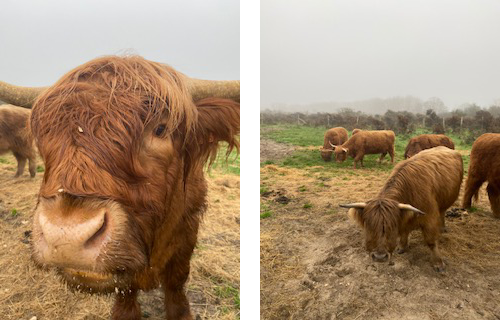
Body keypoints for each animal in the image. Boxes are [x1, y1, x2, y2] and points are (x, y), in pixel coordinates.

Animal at [0, 55, 240, 320]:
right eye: (44, 133)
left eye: (161, 129)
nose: (66, 236)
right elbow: (126, 289)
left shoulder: (188, 229)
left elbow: (176, 280)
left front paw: (181, 312)